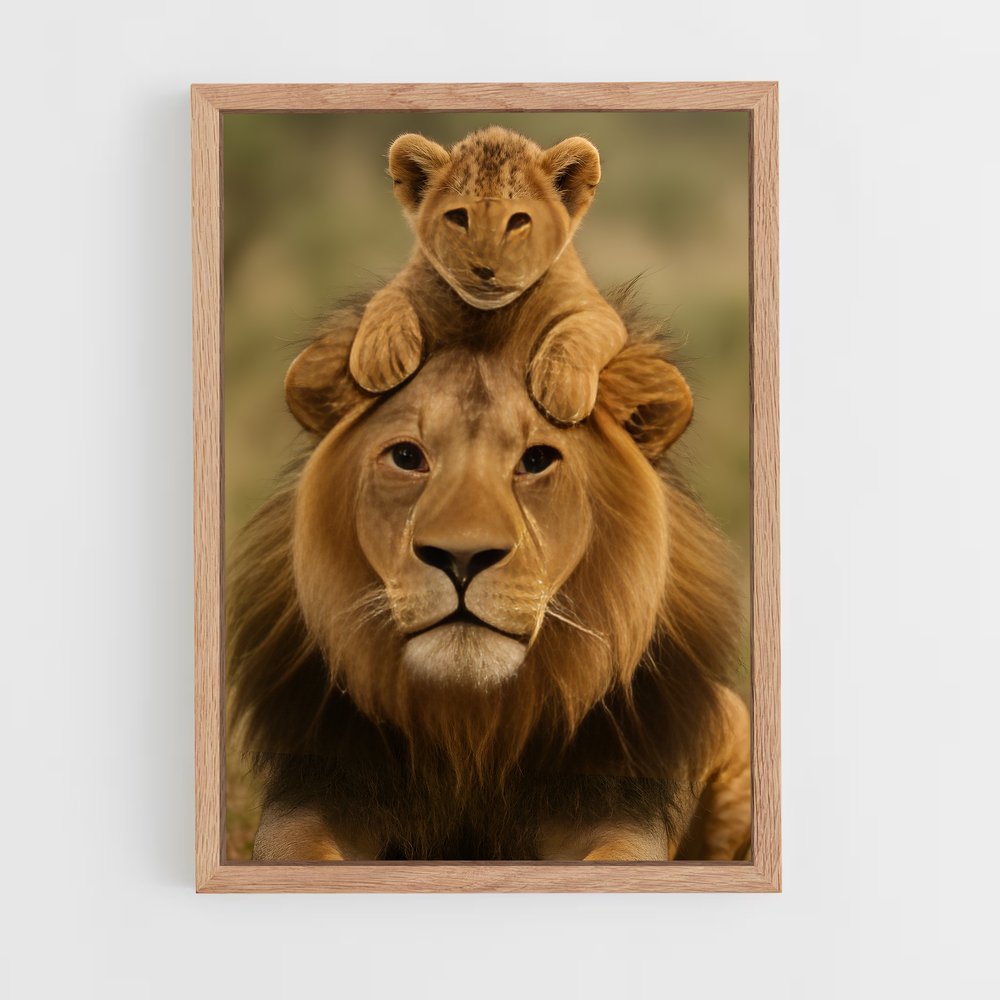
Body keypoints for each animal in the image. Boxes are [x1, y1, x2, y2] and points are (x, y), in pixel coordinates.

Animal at [228, 297, 750, 862]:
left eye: (537, 460)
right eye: (407, 457)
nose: (462, 556)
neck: (472, 728)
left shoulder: (622, 812)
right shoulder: (307, 797)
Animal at [348, 126, 628, 425]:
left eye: (518, 221)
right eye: (459, 217)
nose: (484, 268)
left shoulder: (595, 308)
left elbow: (581, 331)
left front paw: (564, 390)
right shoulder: (415, 277)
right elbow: (388, 297)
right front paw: (381, 354)